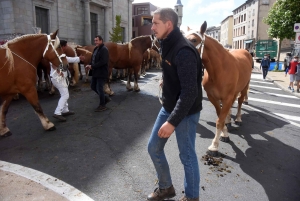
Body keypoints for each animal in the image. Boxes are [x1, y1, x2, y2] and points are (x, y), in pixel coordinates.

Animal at [185, 22, 253, 157]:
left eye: (194, 40)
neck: (219, 70)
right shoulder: (212, 97)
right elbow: (220, 115)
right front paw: (225, 133)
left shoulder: (227, 98)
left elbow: (219, 121)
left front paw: (214, 147)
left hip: (244, 87)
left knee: (240, 101)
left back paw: (238, 118)